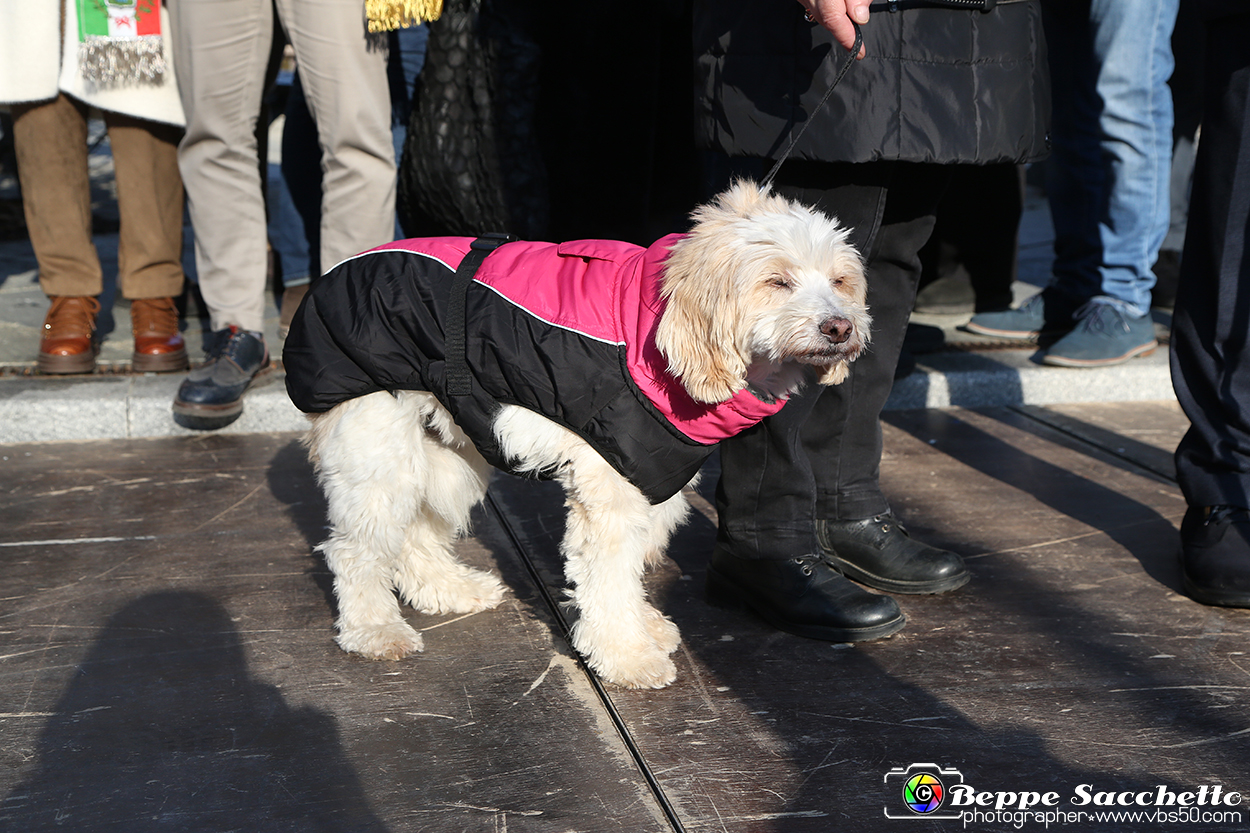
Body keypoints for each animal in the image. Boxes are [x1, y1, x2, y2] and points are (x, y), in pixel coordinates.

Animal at [286, 178, 870, 685]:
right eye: (777, 281)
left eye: (839, 281)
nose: (840, 327)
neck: (649, 326)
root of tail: (327, 280)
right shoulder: (611, 490)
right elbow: (608, 578)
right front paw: (627, 655)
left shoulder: (652, 480)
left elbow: (630, 567)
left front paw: (642, 626)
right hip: (379, 453)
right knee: (355, 551)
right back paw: (374, 629)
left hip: (448, 454)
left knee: (414, 534)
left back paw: (449, 590)